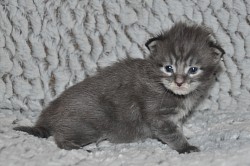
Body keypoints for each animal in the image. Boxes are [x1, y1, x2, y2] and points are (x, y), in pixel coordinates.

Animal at [13, 22, 225, 154]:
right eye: (168, 68)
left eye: (193, 70)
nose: (179, 82)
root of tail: (51, 111)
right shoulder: (159, 116)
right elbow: (171, 134)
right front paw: (185, 147)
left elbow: (178, 126)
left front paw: (186, 132)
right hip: (90, 125)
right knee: (60, 137)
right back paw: (77, 148)